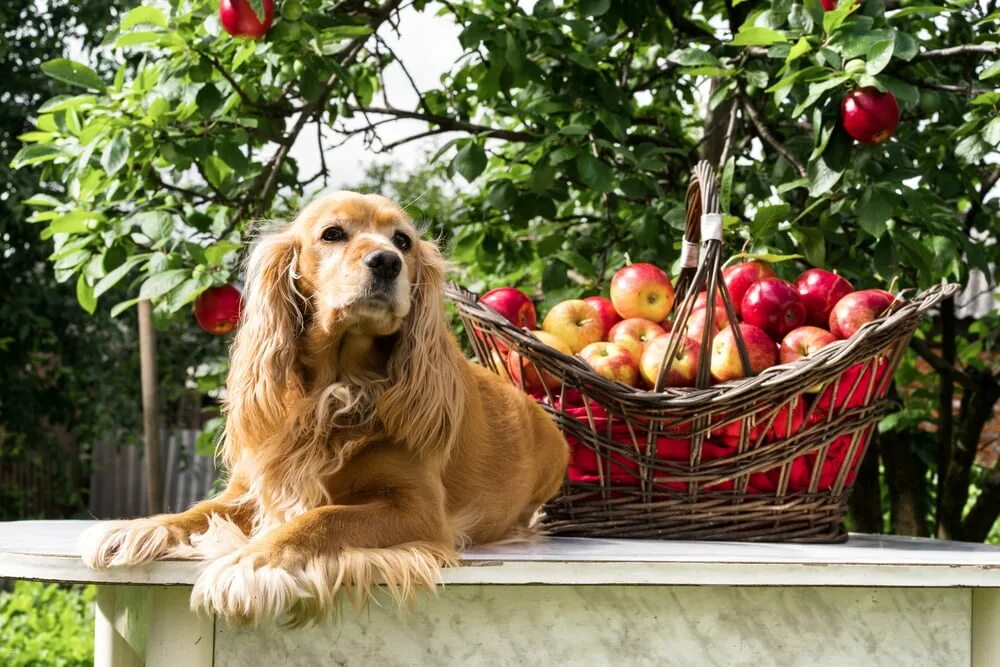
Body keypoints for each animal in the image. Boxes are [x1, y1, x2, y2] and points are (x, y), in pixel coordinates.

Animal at [80, 192, 572, 628]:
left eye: (403, 241)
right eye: (333, 233)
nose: (386, 261)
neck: (339, 386)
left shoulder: (418, 510)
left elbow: (321, 518)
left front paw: (250, 565)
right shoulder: (255, 488)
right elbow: (199, 511)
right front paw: (137, 528)